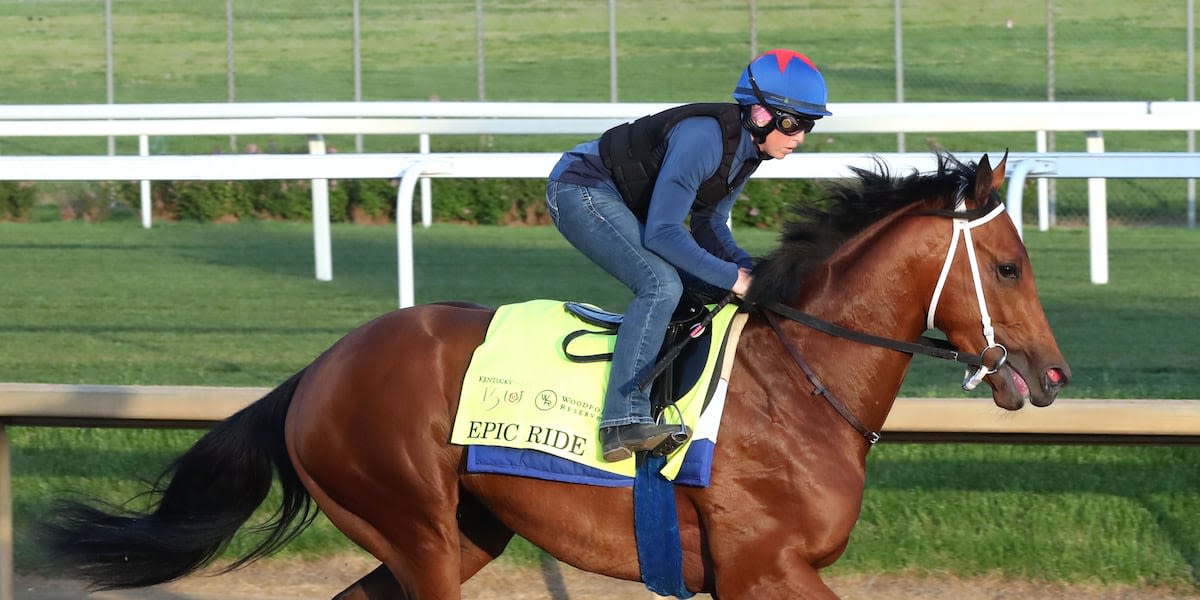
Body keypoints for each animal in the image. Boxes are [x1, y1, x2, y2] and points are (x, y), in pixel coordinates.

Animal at [35, 148, 1070, 595]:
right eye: (1010, 266)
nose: (1052, 374)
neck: (796, 386)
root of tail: (317, 371)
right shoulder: (761, 566)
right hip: (414, 531)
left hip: (461, 532)